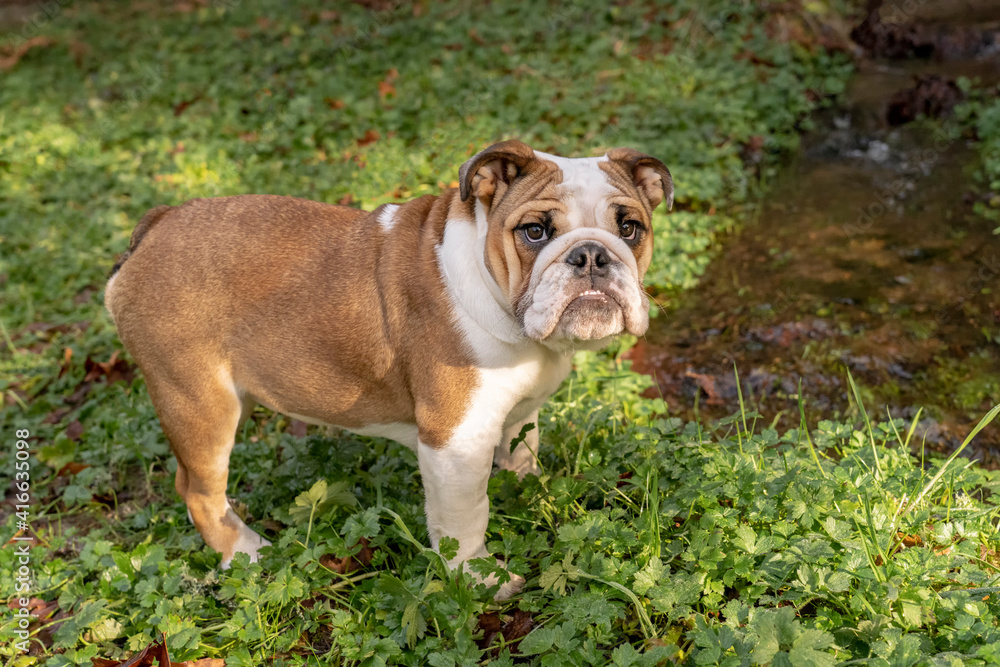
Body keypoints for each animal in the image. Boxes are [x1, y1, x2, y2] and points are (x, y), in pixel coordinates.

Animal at [105, 141, 672, 600]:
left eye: (629, 228)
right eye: (534, 232)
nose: (592, 254)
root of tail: (156, 225)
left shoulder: (516, 414)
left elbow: (522, 452)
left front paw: (534, 493)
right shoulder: (454, 440)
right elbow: (465, 519)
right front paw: (477, 578)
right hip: (200, 405)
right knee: (200, 493)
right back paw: (247, 551)